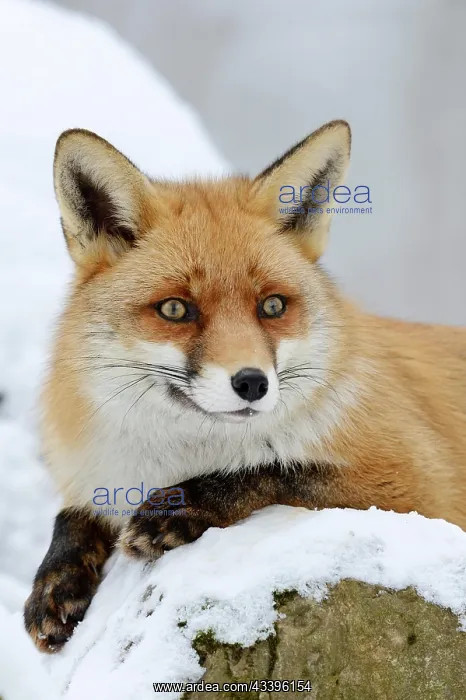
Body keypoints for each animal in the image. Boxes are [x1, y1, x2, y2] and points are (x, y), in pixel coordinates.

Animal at [24, 120, 466, 653]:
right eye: (175, 309)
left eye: (272, 306)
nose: (252, 382)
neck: (186, 457)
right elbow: (69, 516)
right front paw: (55, 583)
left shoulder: (418, 487)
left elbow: (280, 471)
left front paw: (179, 508)